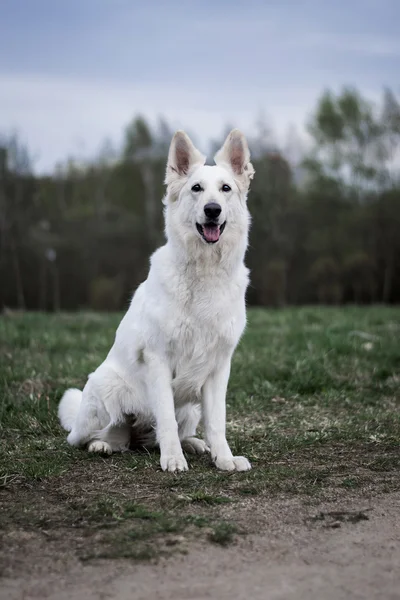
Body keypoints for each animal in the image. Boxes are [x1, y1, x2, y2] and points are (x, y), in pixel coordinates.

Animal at [57, 127, 255, 474]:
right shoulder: (158, 360)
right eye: (196, 188)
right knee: (97, 437)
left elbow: (217, 421)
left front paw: (224, 458)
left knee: (149, 436)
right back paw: (100, 445)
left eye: (225, 189)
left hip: (190, 407)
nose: (212, 209)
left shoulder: (218, 368)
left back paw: (193, 444)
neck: (203, 272)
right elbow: (165, 419)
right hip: (104, 392)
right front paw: (173, 459)